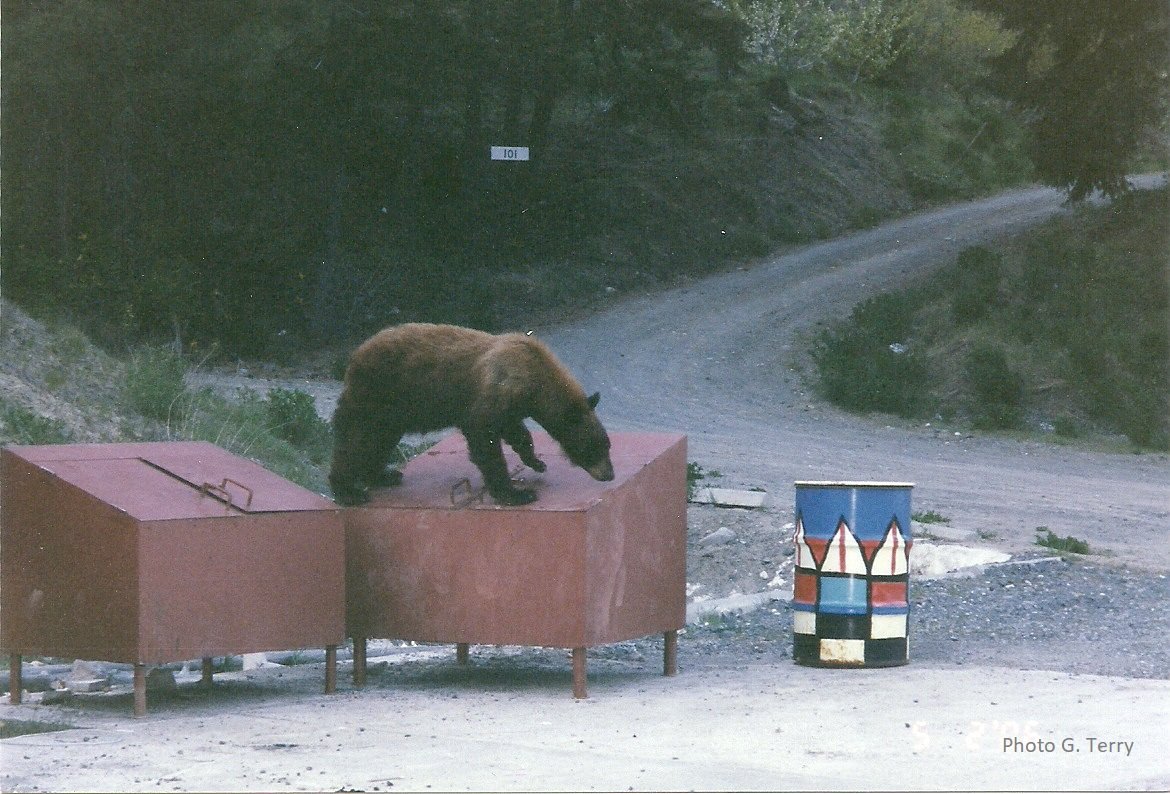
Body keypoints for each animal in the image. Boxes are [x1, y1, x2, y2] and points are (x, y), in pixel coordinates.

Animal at [329, 325, 617, 505]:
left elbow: (515, 430)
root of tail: (352, 361)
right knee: (356, 441)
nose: (610, 474)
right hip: (376, 396)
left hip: (390, 412)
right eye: (594, 447)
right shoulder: (494, 392)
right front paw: (515, 493)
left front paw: (535, 461)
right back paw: (348, 491)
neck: (533, 376)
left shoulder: (511, 404)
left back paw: (382, 475)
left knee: (378, 441)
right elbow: (484, 436)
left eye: (607, 445)